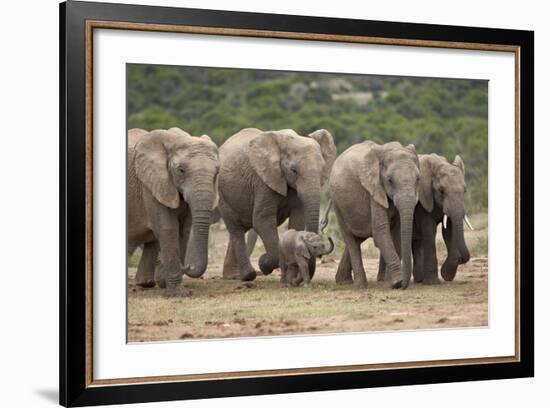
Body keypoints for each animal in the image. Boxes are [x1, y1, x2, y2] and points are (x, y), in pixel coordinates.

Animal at [127, 127, 220, 296]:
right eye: (181, 170)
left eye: (217, 172)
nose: (187, 266)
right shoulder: (150, 184)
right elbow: (168, 228)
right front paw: (179, 294)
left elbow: (184, 229)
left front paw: (167, 284)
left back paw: (146, 284)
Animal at [219, 127, 336, 280]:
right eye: (294, 170)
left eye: (323, 169)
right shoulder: (263, 180)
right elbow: (262, 219)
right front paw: (263, 264)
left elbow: (298, 219)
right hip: (223, 195)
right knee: (236, 228)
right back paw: (248, 275)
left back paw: (233, 276)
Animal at [332, 142, 422, 288]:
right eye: (390, 180)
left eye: (418, 179)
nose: (404, 285)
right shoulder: (374, 189)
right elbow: (380, 229)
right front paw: (397, 282)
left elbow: (397, 232)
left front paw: (390, 283)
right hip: (337, 204)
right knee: (350, 239)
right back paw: (360, 286)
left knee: (357, 238)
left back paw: (343, 281)